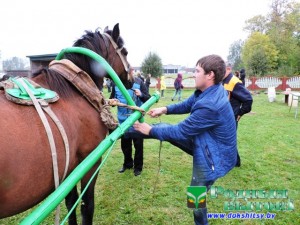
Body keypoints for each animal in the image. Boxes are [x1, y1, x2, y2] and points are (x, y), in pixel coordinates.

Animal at [0, 23, 131, 224]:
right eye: (124, 52)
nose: (132, 78)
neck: (74, 90)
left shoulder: (68, 169)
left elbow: (71, 203)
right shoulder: (89, 161)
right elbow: (87, 205)